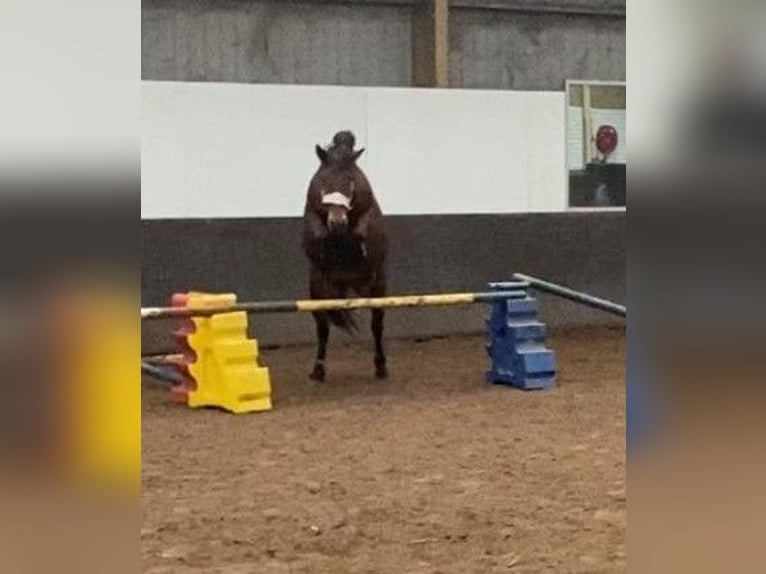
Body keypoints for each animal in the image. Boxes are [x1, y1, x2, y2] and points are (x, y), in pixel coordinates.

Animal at [304, 130, 390, 382]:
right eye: (323, 182)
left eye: (351, 183)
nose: (337, 221)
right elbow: (316, 236)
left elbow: (362, 232)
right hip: (318, 290)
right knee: (323, 327)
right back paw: (318, 369)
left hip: (377, 286)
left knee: (377, 323)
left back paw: (380, 366)